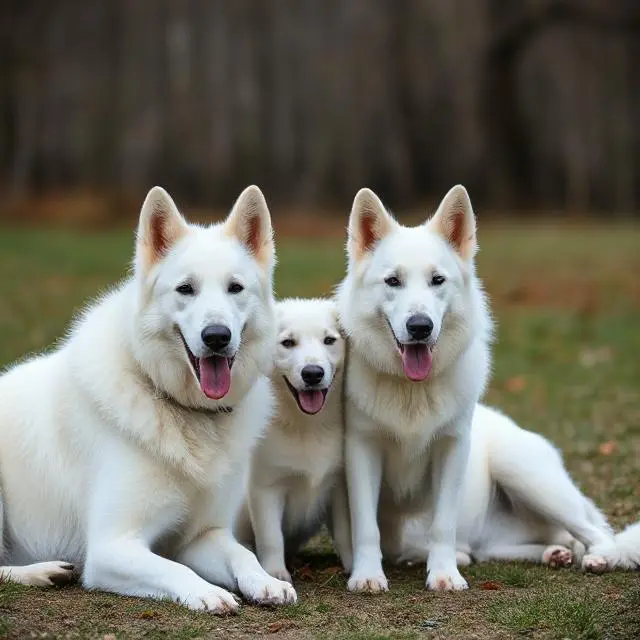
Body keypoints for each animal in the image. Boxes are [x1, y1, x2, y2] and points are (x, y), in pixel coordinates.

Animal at [238, 298, 352, 584]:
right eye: (287, 343)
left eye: (329, 340)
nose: (313, 373)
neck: (306, 427)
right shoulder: (265, 488)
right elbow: (271, 537)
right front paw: (275, 573)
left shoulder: (340, 486)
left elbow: (346, 533)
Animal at [338, 186, 636, 596]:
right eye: (393, 281)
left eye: (437, 280)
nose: (420, 327)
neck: (413, 391)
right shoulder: (362, 451)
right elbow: (366, 526)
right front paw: (368, 576)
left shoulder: (451, 449)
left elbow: (442, 524)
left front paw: (444, 575)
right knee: (525, 545)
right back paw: (551, 553)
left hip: (522, 471)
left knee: (595, 531)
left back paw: (601, 557)